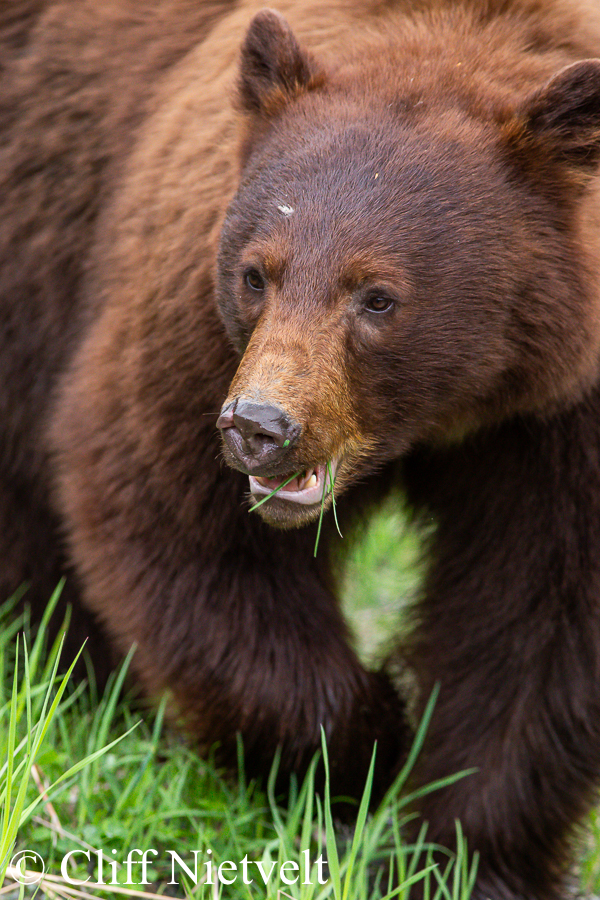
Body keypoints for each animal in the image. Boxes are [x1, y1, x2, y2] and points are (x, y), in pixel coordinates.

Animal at [3, 0, 600, 896]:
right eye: (257, 273)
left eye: (378, 296)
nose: (258, 426)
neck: (452, 413)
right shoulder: (189, 321)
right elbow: (179, 527)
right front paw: (365, 749)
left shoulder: (559, 417)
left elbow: (540, 620)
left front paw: (458, 854)